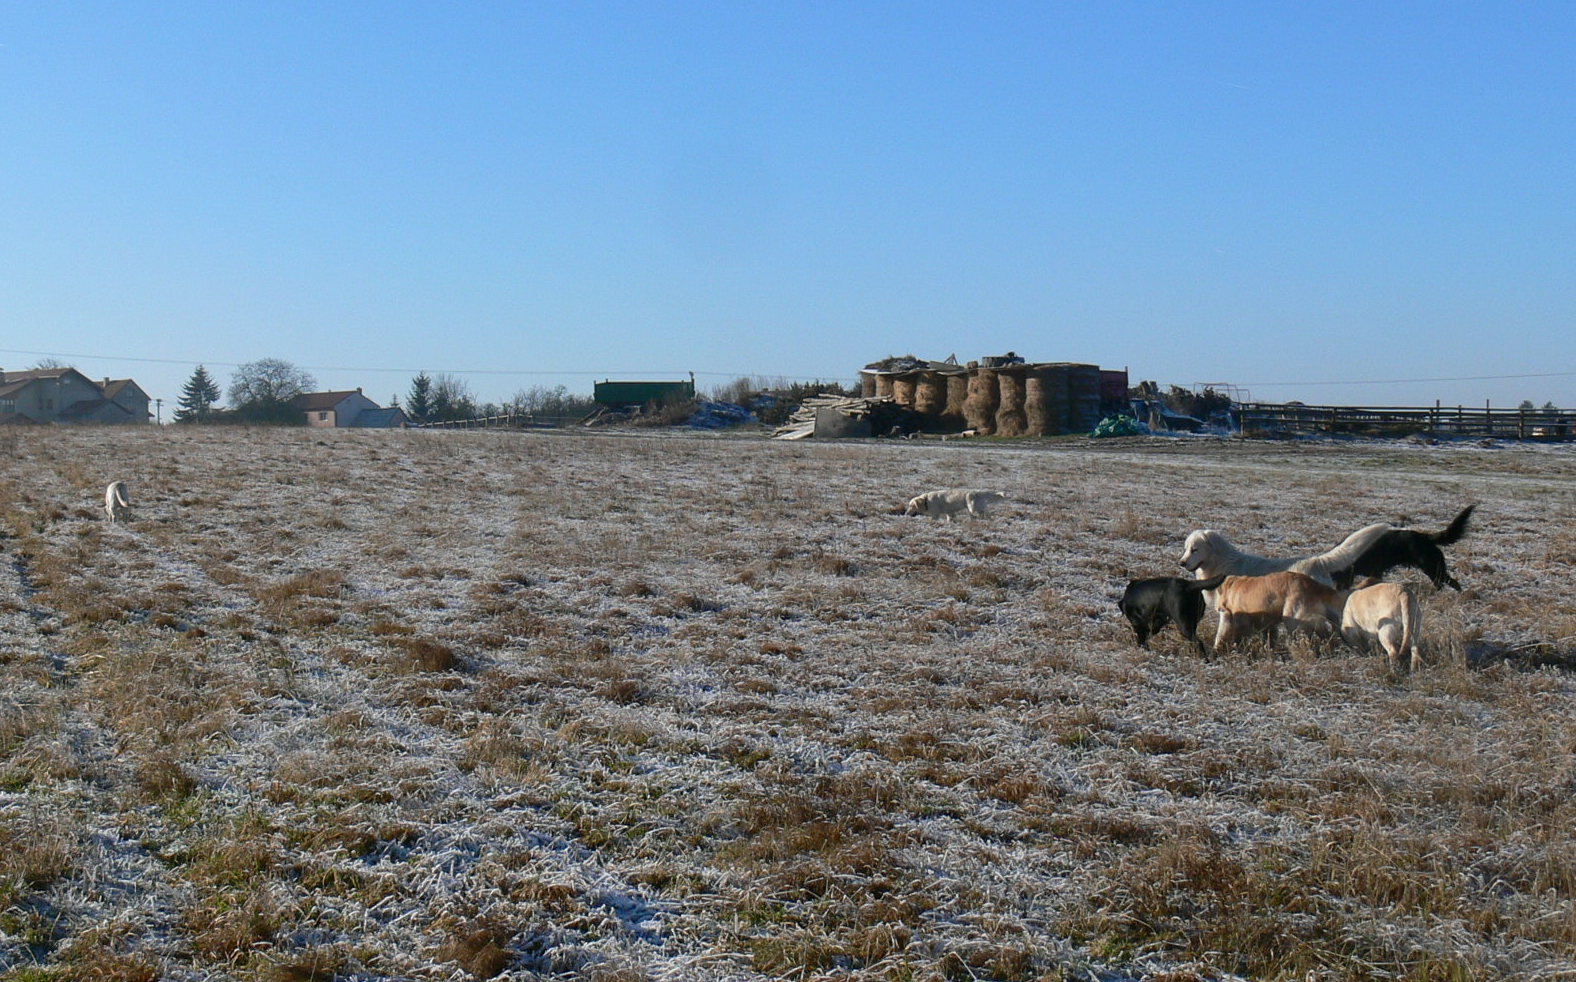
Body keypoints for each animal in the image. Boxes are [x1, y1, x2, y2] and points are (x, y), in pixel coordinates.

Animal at [1204, 567, 1342, 652]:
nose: (1217, 608)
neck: (1233, 588)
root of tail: (1314, 585)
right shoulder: (1268, 623)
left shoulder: (1240, 617)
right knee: (1326, 631)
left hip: (1293, 616)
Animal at [1336, 507, 1468, 592]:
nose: (1337, 591)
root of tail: (1425, 537)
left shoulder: (1376, 571)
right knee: (1447, 583)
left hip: (1432, 568)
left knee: (1447, 583)